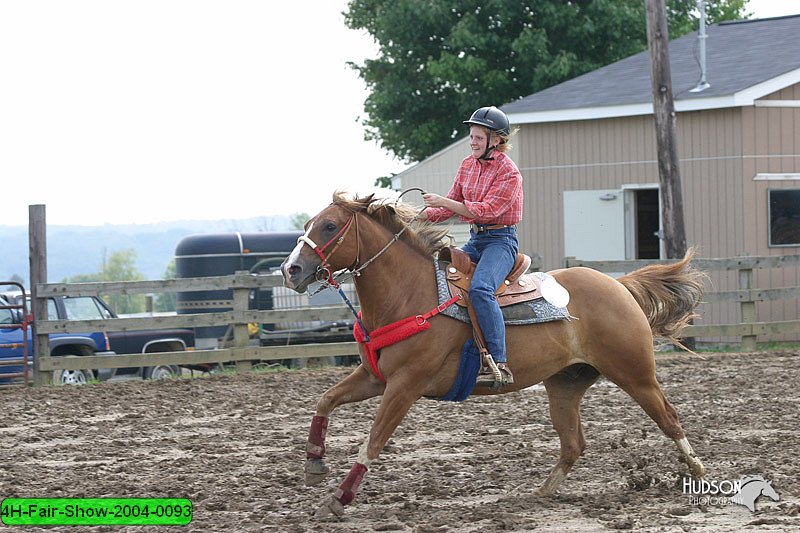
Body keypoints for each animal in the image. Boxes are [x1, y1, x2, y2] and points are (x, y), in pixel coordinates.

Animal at [282, 190, 708, 516]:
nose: (290, 270)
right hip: (565, 384)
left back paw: (699, 473)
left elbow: (373, 440)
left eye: (330, 226)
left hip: (635, 374)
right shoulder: (375, 377)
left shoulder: (405, 385)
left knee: (669, 419)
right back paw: (538, 493)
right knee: (574, 443)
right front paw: (314, 463)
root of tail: (618, 284)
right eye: (308, 224)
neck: (411, 293)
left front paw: (338, 499)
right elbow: (325, 400)